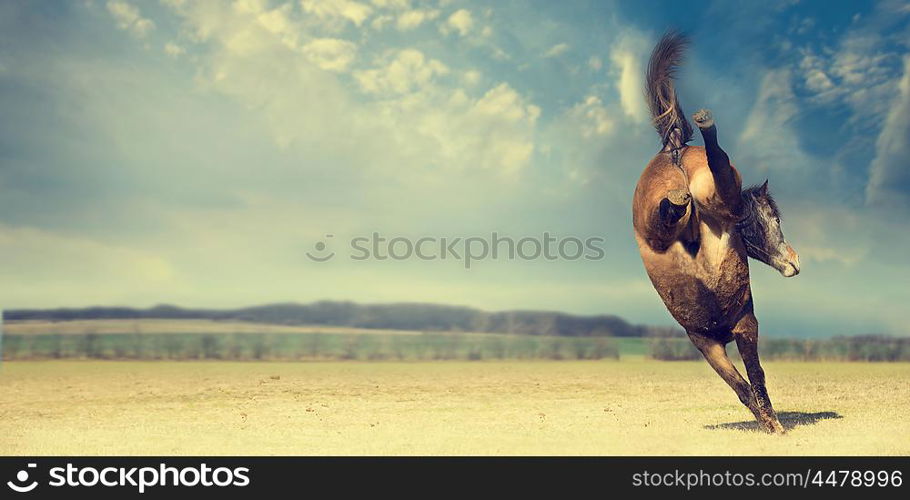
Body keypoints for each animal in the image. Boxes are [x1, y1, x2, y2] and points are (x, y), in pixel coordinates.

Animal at [632, 33, 800, 434]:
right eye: (774, 218)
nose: (794, 262)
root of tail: (674, 149)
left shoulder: (710, 344)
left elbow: (742, 386)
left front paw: (767, 422)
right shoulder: (738, 330)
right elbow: (752, 379)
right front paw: (774, 426)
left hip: (658, 218)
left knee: (672, 211)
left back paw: (677, 200)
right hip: (714, 199)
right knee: (722, 177)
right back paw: (706, 127)